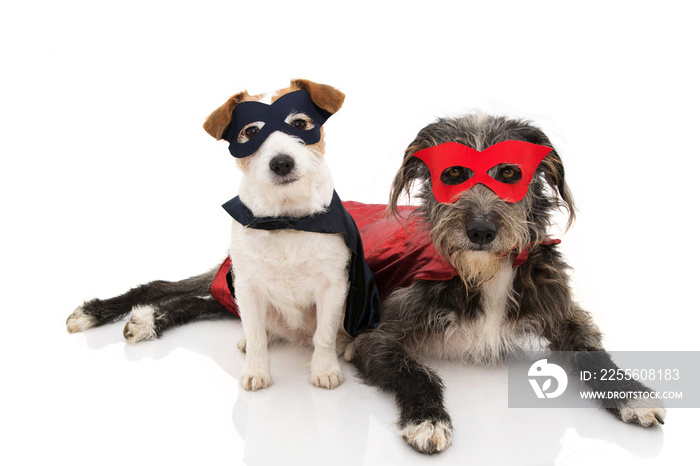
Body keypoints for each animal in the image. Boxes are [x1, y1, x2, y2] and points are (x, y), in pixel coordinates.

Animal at [350, 114, 668, 456]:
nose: (481, 231)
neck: (487, 272)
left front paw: (631, 394)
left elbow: (592, 352)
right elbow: (415, 371)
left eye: (509, 172)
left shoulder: (563, 311)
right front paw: (428, 419)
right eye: (453, 173)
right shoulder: (375, 335)